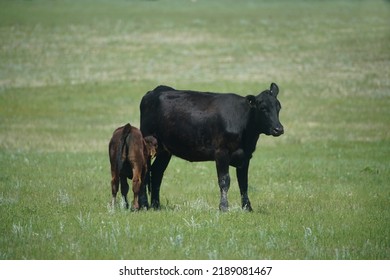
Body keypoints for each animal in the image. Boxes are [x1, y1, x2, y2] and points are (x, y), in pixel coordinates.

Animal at [140, 82, 284, 210]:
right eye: (263, 108)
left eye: (278, 107)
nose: (279, 129)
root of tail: (155, 91)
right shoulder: (221, 152)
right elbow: (224, 180)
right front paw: (224, 207)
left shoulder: (246, 156)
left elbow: (244, 183)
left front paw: (247, 208)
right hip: (147, 144)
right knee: (145, 172)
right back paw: (144, 205)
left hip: (165, 150)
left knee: (157, 172)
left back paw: (156, 205)